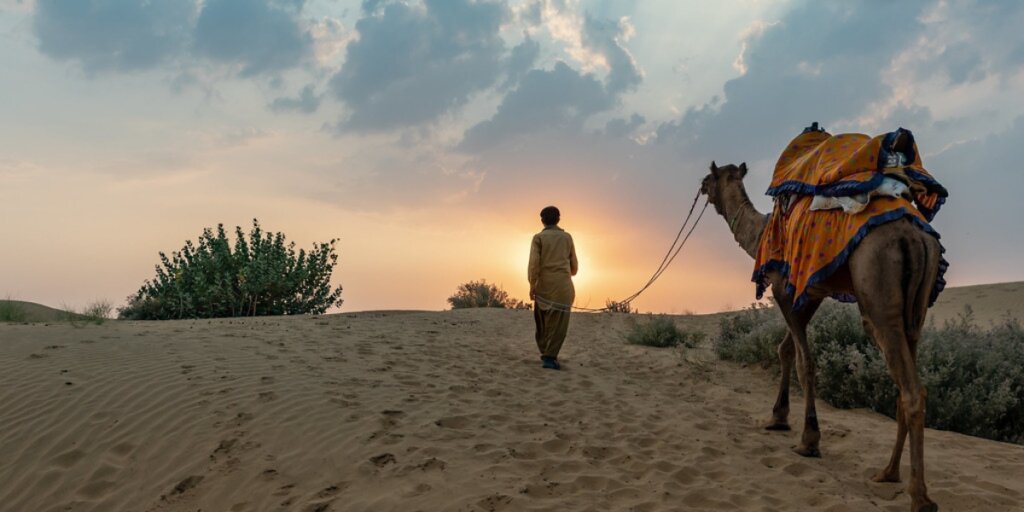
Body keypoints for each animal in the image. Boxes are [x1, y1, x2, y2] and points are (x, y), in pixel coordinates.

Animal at [700, 160, 937, 512]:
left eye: (711, 176)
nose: (702, 186)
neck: (763, 234)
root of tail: (914, 236)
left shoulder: (784, 288)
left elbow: (805, 362)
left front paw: (809, 439)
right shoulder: (811, 293)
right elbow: (785, 349)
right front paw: (778, 418)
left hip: (878, 296)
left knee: (910, 388)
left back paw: (919, 496)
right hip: (916, 312)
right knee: (906, 381)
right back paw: (888, 472)